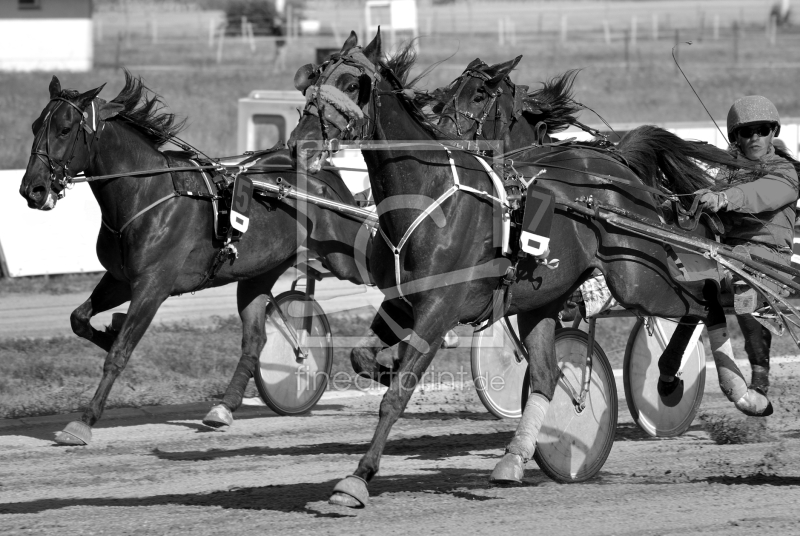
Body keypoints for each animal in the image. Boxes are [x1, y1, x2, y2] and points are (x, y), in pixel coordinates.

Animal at [18, 73, 368, 446]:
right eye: (36, 125)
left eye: (65, 129)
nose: (32, 189)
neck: (147, 193)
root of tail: (322, 171)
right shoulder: (121, 278)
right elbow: (79, 319)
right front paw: (109, 330)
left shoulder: (153, 286)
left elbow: (119, 354)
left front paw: (84, 421)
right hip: (258, 272)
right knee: (255, 340)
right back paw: (224, 408)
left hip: (344, 257)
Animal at [288, 29, 768, 506]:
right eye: (314, 76)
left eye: (354, 84)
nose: (300, 144)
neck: (429, 193)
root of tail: (619, 166)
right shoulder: (402, 302)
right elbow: (362, 356)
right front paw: (383, 364)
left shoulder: (439, 307)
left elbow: (398, 392)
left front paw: (358, 478)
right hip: (543, 298)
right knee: (546, 376)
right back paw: (513, 459)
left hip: (636, 277)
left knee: (704, 300)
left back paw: (732, 389)